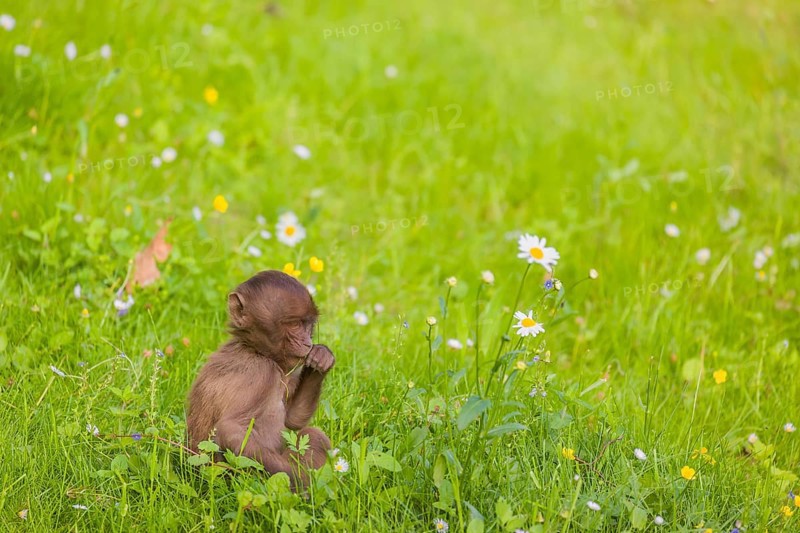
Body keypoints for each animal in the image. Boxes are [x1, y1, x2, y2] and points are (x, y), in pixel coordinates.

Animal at [186, 270, 335, 488]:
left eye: (308, 325)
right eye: (294, 324)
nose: (308, 342)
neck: (253, 349)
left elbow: (292, 419)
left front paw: (321, 357)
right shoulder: (261, 374)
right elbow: (231, 430)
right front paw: (301, 484)